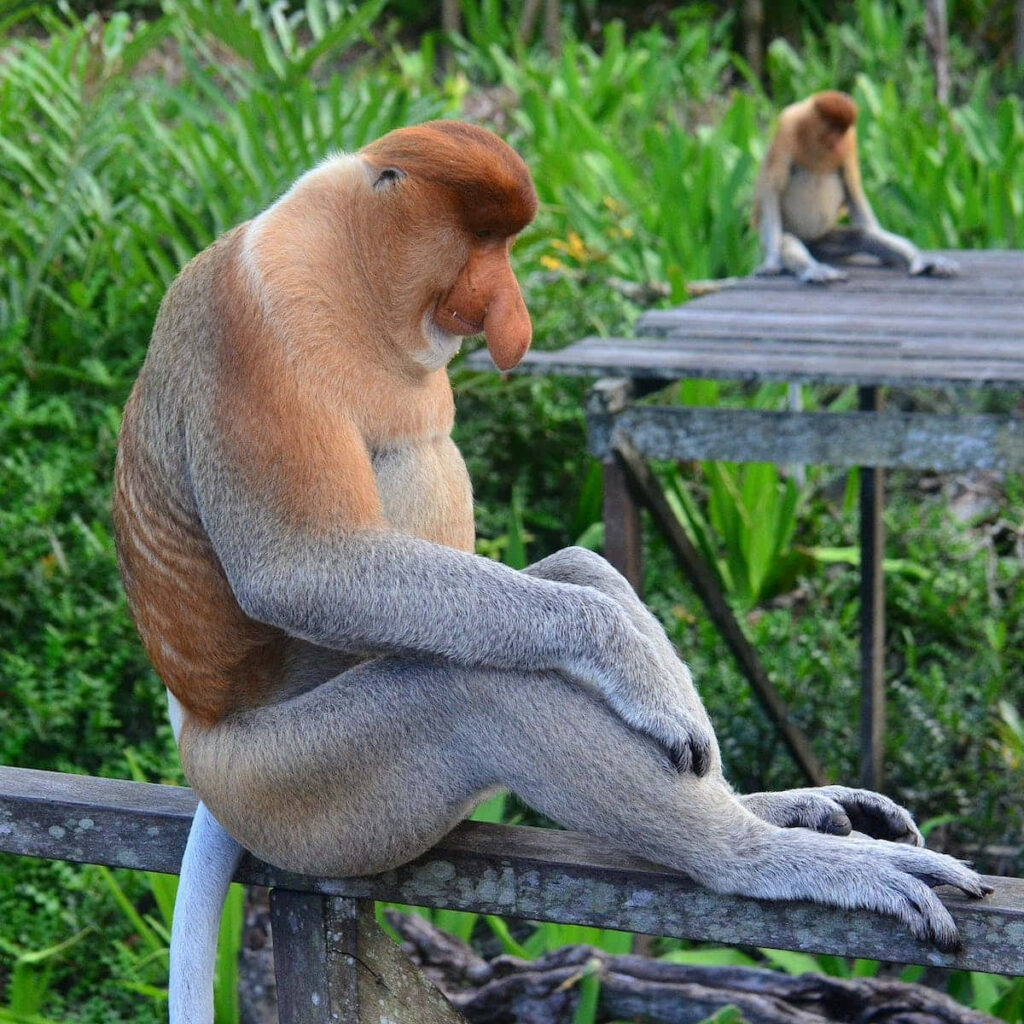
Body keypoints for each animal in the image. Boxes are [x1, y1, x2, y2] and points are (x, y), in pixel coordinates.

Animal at [112, 120, 988, 1023]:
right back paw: (761, 855)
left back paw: (774, 806)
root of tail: (201, 736)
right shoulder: (252, 324)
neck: (345, 264)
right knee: (473, 691)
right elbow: (302, 570)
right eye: (480, 243)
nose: (510, 314)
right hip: (297, 789)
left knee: (571, 569)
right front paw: (635, 664)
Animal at [753, 91, 959, 283]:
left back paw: (920, 260)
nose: (837, 144)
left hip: (826, 239)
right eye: (832, 128)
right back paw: (815, 270)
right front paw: (771, 263)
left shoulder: (850, 141)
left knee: (864, 235)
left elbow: (853, 192)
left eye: (842, 131)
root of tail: (812, 242)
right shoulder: (786, 130)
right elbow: (771, 192)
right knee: (787, 241)